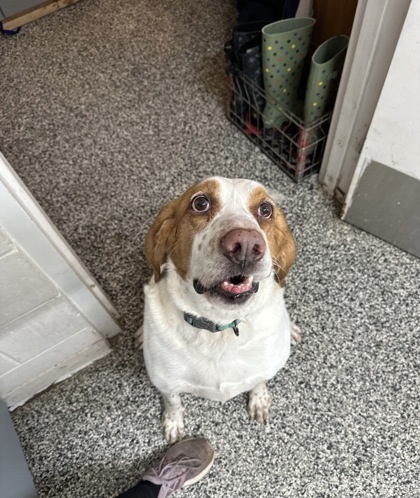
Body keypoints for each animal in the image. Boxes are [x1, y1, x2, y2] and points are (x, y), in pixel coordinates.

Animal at [140, 177, 298, 442]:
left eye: (266, 209)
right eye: (200, 203)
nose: (246, 244)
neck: (220, 328)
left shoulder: (266, 367)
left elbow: (260, 383)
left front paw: (259, 401)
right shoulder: (165, 382)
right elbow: (173, 402)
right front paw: (173, 423)